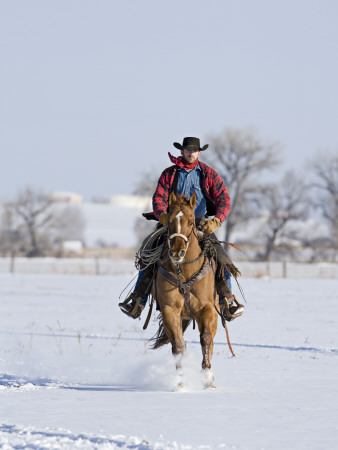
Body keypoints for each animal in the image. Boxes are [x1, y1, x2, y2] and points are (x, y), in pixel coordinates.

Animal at [151, 192, 219, 388]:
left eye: (190, 221)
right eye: (169, 220)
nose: (177, 252)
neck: (185, 274)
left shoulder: (208, 309)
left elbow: (206, 338)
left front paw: (207, 376)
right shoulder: (170, 310)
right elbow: (178, 346)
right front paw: (180, 383)